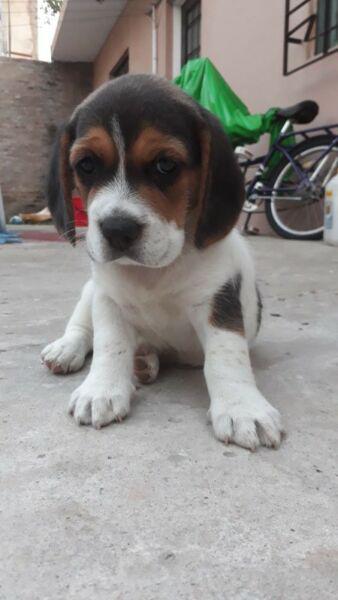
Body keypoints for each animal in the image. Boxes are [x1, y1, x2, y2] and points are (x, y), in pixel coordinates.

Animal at [41, 74, 284, 450]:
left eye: (165, 165)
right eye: (86, 165)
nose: (117, 229)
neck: (153, 272)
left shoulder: (219, 299)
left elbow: (226, 356)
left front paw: (243, 407)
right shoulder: (107, 299)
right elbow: (109, 344)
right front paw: (101, 389)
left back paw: (144, 360)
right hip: (90, 290)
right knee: (81, 325)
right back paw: (69, 348)